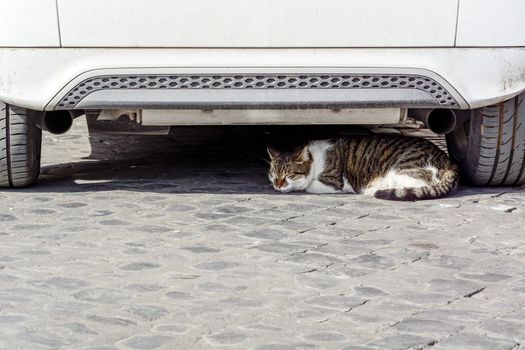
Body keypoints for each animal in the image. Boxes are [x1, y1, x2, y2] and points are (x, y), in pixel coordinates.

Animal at [268, 135, 456, 201]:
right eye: (273, 174)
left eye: (289, 175)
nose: (277, 185)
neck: (315, 161)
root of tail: (449, 161)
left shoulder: (334, 182)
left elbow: (308, 187)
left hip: (403, 168)